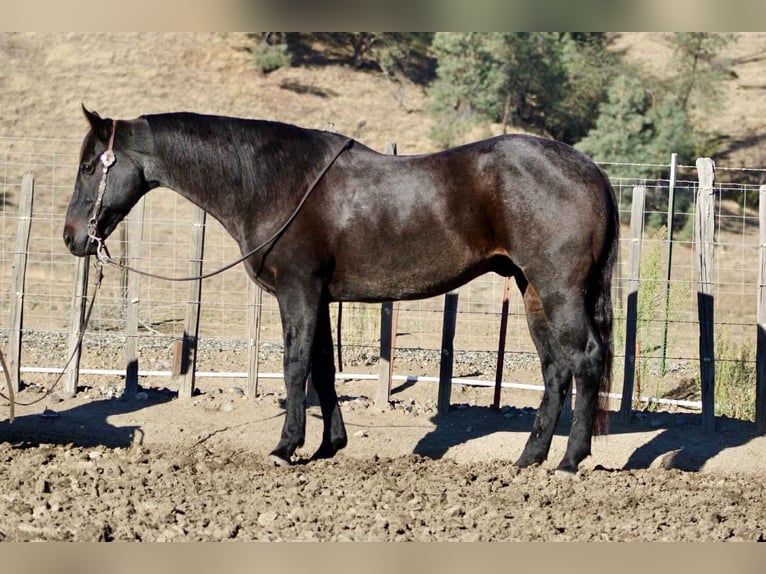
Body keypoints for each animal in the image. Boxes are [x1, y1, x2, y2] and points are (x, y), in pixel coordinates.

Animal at [64, 106, 619, 473]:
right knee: (555, 369)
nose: (72, 237)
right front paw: (329, 445)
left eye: (90, 165)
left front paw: (285, 447)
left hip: (558, 290)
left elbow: (295, 367)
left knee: (585, 359)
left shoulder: (298, 293)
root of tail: (591, 170)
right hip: (532, 291)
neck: (272, 181)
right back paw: (529, 457)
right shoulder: (321, 298)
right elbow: (324, 370)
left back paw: (570, 460)